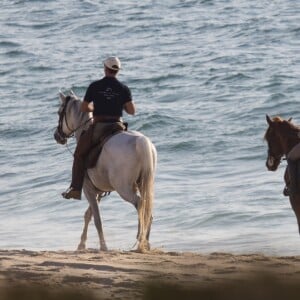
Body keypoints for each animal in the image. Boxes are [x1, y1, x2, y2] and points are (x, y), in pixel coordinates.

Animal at [53, 91, 157, 251]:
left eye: (59, 112)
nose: (57, 136)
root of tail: (141, 142)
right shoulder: (98, 193)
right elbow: (88, 215)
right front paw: (81, 244)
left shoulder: (89, 190)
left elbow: (97, 219)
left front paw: (103, 246)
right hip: (143, 184)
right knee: (147, 208)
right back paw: (146, 241)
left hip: (124, 189)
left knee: (140, 204)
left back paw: (140, 239)